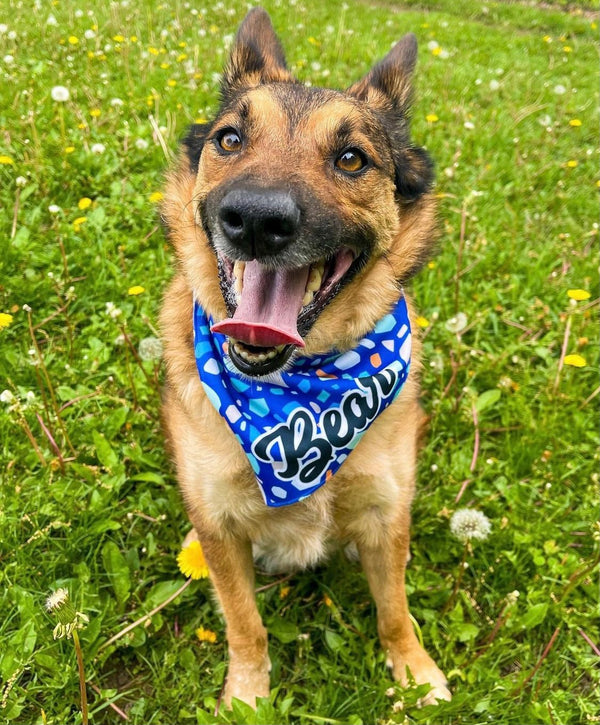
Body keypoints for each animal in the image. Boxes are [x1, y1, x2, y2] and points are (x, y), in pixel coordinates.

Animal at [159, 5, 450, 708]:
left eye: (351, 158)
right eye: (230, 139)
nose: (255, 220)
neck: (299, 392)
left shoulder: (385, 513)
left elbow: (395, 609)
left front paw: (414, 672)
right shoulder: (221, 526)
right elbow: (244, 621)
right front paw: (247, 695)